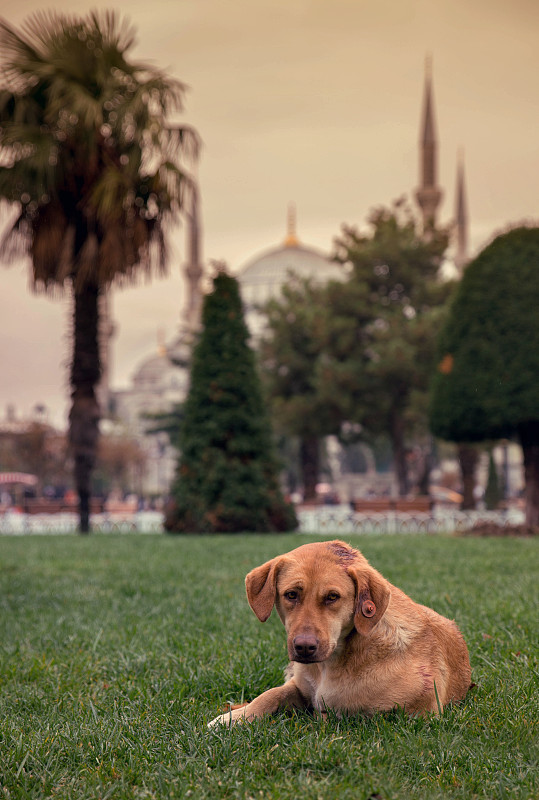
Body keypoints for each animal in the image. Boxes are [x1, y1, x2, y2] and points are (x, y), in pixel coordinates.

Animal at [209, 536, 470, 724]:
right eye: (291, 594)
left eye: (332, 597)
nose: (304, 647)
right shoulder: (299, 685)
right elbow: (270, 694)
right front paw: (232, 718)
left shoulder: (422, 710)